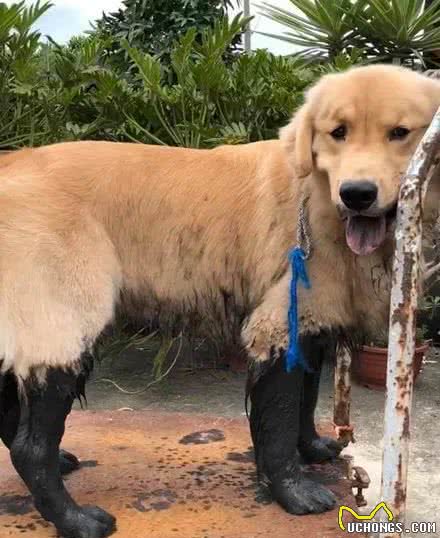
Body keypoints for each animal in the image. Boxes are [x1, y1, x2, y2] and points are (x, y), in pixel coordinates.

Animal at [0, 65, 438, 532]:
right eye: (338, 132)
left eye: (400, 133)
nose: (356, 194)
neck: (318, 197)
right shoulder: (276, 325)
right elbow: (280, 420)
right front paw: (293, 492)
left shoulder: (310, 324)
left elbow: (305, 402)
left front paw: (313, 448)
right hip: (63, 321)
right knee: (30, 447)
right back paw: (75, 519)